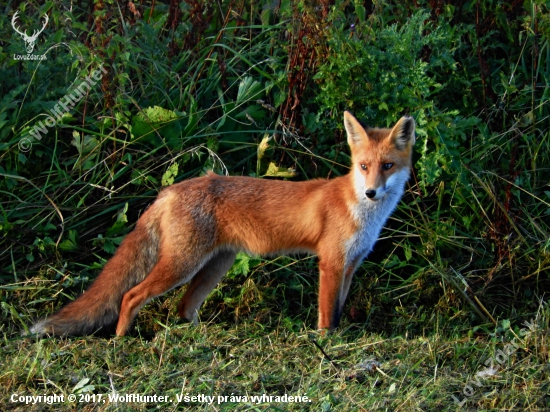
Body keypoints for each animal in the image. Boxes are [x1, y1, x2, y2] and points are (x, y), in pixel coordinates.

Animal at [30, 111, 416, 336]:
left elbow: (338, 311)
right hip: (182, 265)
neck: (361, 212)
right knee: (130, 295)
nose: (371, 192)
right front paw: (325, 347)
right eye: (364, 166)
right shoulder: (331, 263)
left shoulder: (350, 265)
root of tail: (169, 190)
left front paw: (339, 341)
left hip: (214, 266)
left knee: (183, 308)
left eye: (387, 166)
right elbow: (326, 316)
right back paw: (122, 339)